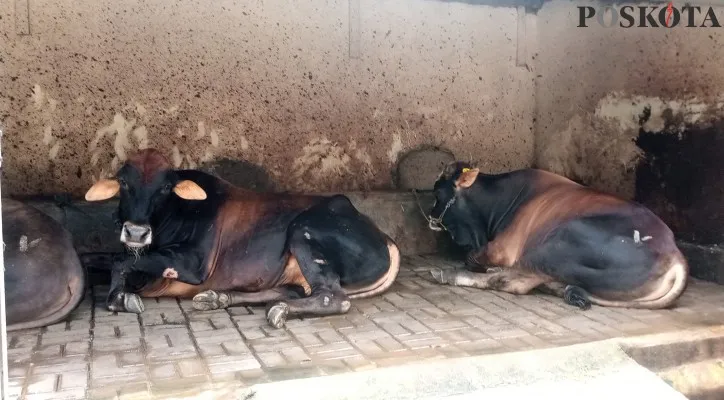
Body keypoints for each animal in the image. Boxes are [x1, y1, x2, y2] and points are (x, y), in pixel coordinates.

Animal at [85, 148, 402, 326]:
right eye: (123, 182)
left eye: (165, 187)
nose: (136, 231)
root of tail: (384, 237)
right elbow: (99, 261)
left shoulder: (193, 264)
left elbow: (120, 263)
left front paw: (119, 299)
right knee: (288, 291)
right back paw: (217, 298)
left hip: (304, 231)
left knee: (332, 297)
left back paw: (279, 310)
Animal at [424, 162, 692, 310]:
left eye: (437, 192)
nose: (430, 216)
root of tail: (675, 256)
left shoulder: (501, 248)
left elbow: (473, 258)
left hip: (555, 245)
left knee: (512, 282)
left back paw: (448, 275)